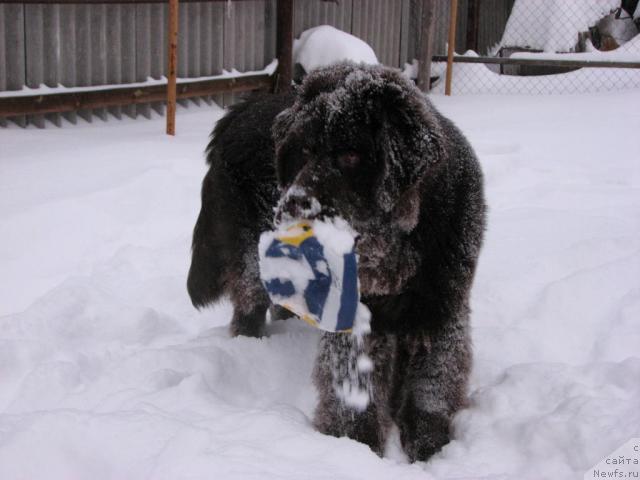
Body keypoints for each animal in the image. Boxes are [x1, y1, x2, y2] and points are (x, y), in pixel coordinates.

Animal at [186, 63, 484, 462]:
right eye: (304, 150)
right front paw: (354, 447)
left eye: (351, 156)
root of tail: (237, 113)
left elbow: (433, 381)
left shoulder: (440, 305)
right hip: (252, 252)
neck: (398, 243)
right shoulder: (357, 314)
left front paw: (428, 446)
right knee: (250, 305)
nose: (292, 207)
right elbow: (353, 382)